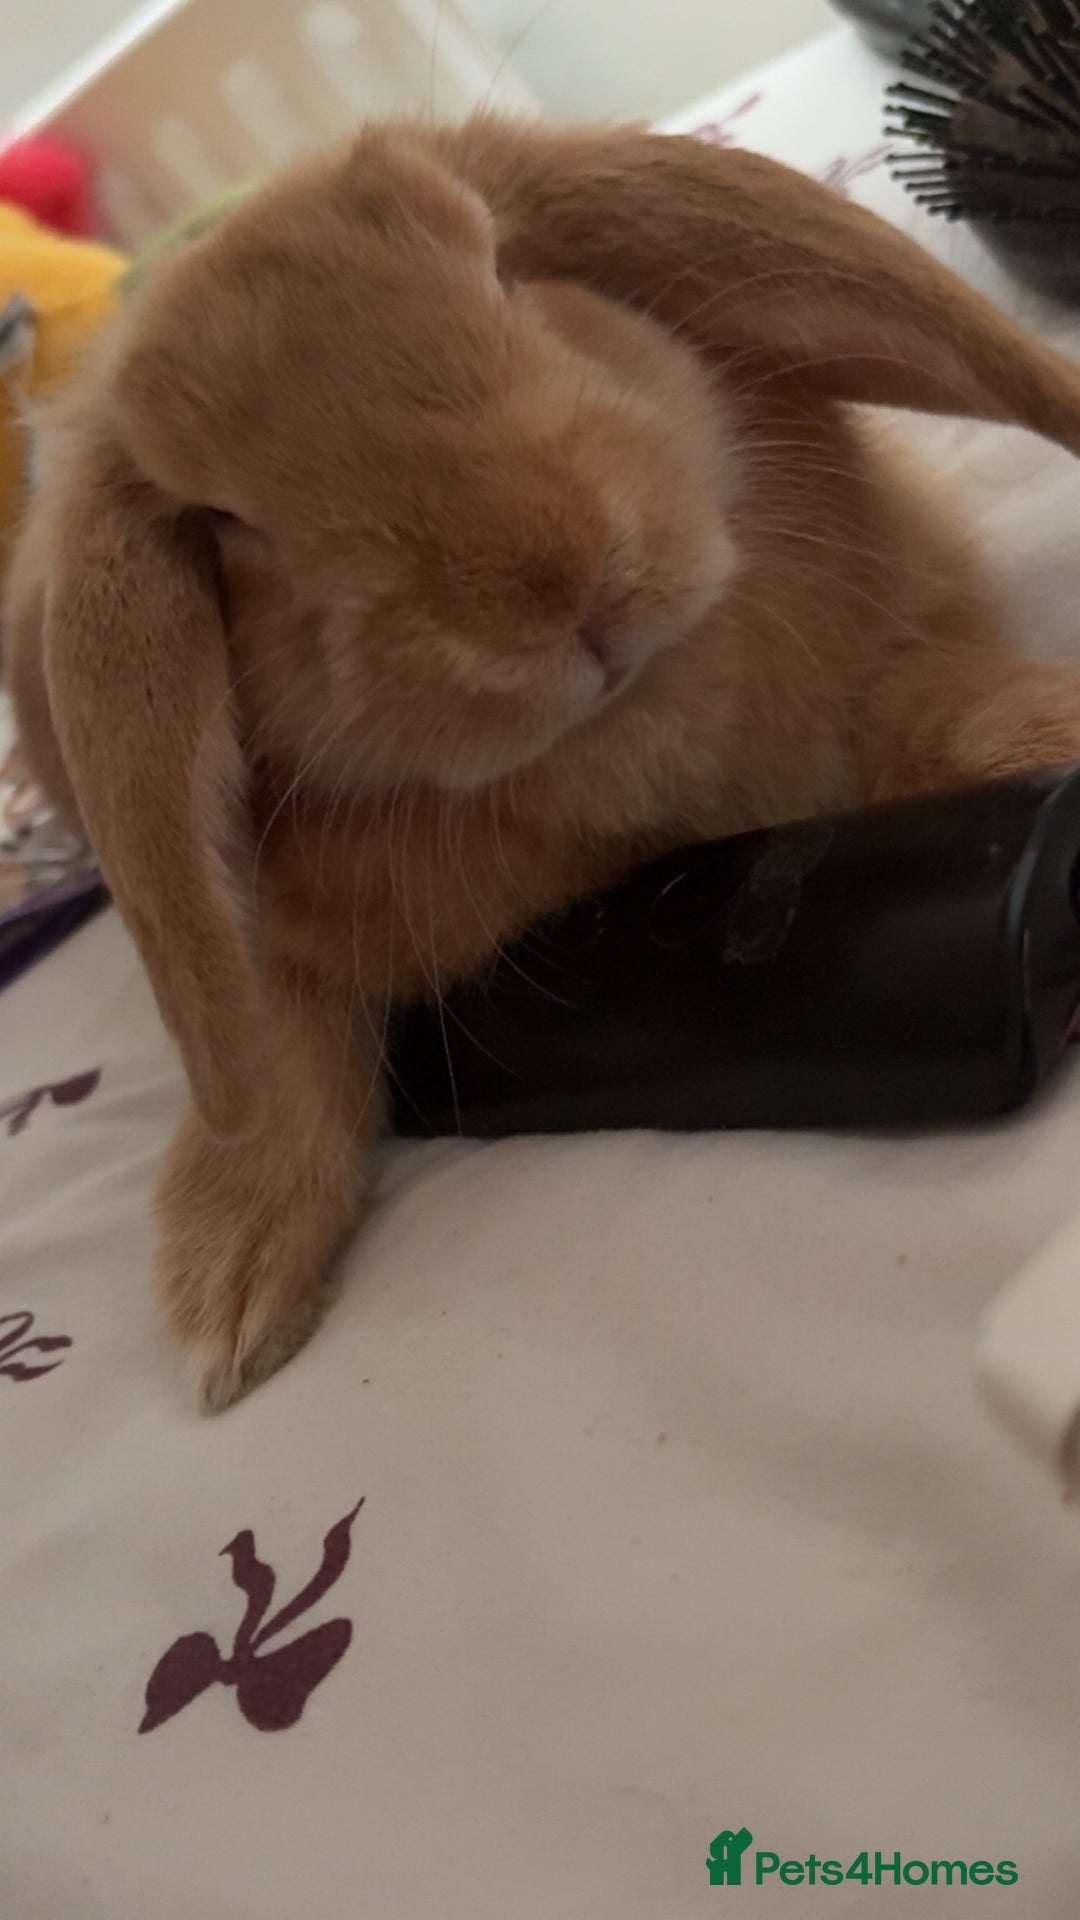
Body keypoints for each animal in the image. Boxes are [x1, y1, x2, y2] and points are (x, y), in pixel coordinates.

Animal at [9, 117, 1080, 1411]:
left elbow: (950, 713)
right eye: (224, 519)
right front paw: (228, 1292)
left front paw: (1060, 729)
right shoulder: (287, 948)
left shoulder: (893, 665)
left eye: (508, 276)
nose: (556, 581)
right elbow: (276, 1042)